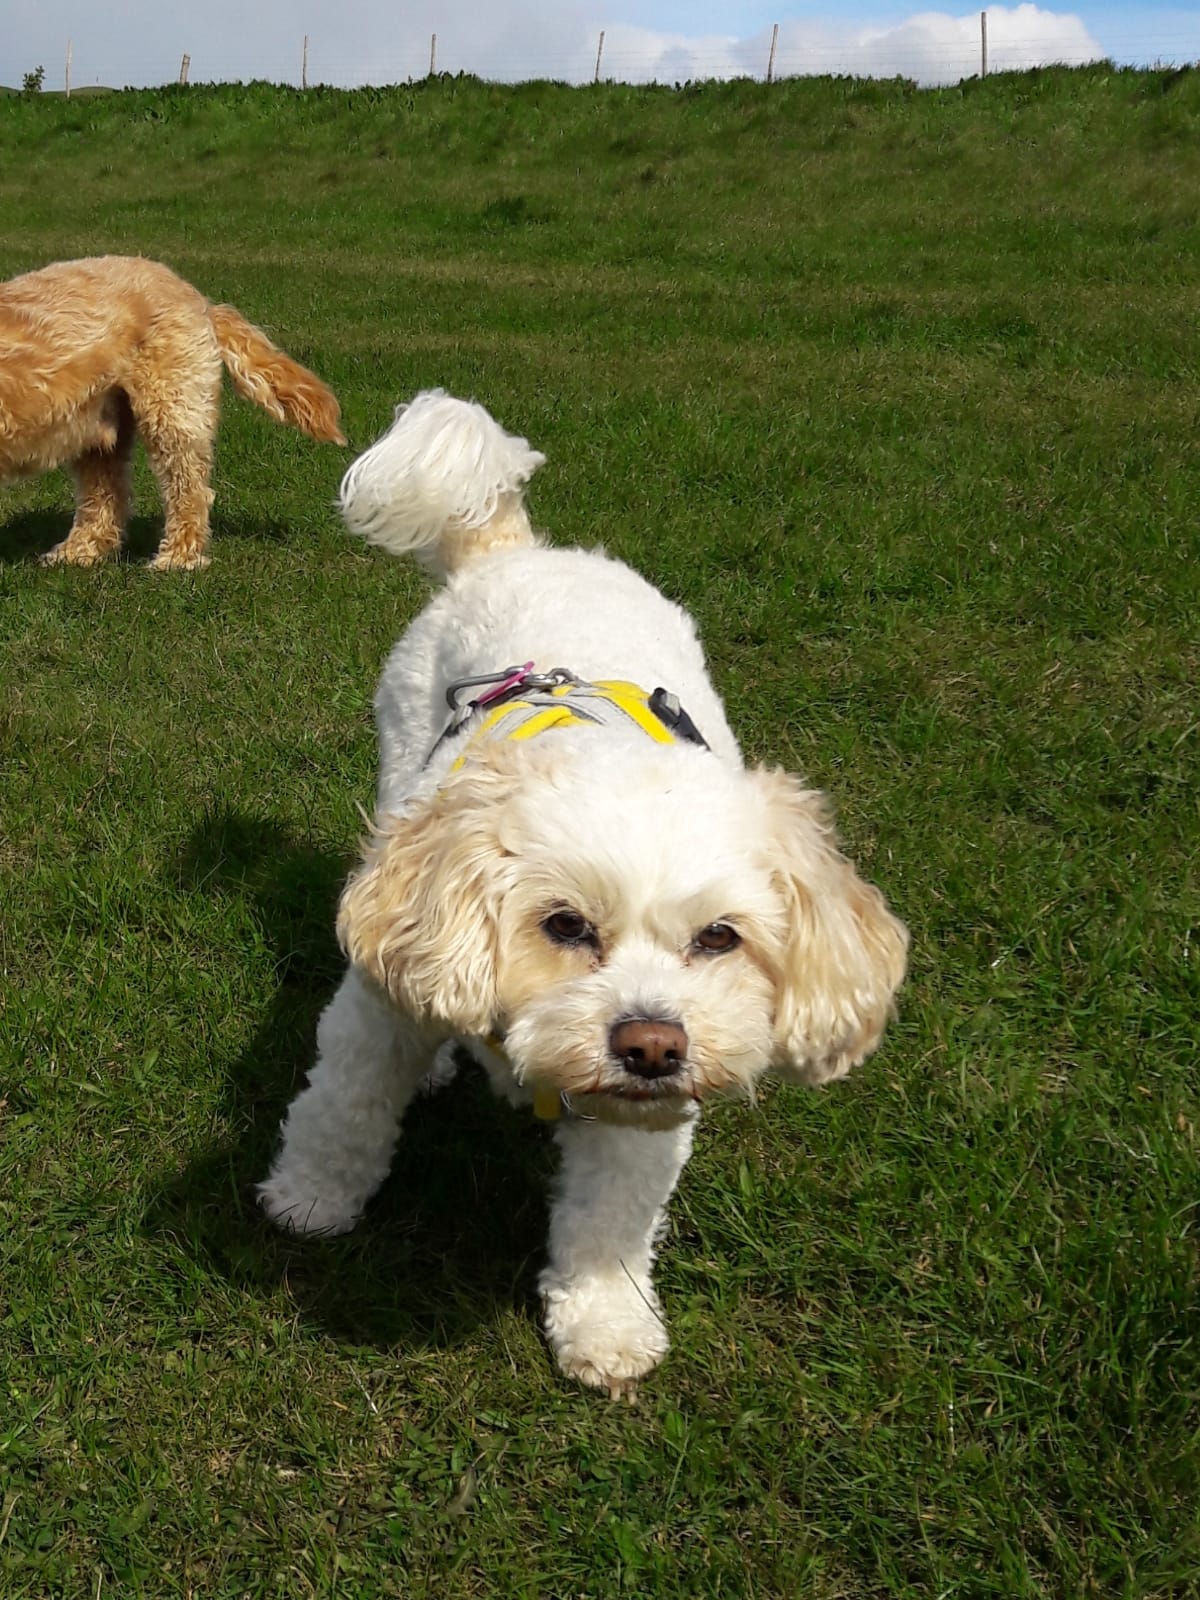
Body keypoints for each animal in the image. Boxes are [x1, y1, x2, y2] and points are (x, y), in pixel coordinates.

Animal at [1, 252, 347, 566]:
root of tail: (198, 298)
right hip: (101, 422)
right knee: (107, 492)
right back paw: (78, 552)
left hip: (173, 408)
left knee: (189, 490)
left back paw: (177, 558)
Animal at [259, 393, 908, 1395]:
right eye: (564, 925)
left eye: (719, 939)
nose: (651, 1046)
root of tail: (520, 547)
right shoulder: (374, 1015)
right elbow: (346, 1107)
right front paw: (310, 1199)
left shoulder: (648, 1117)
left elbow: (612, 1216)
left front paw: (605, 1323)